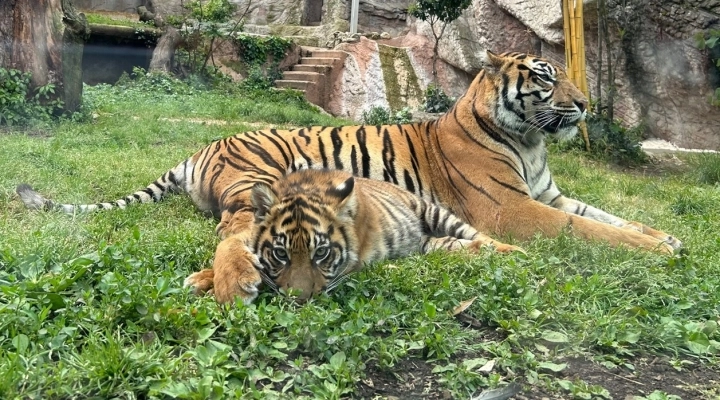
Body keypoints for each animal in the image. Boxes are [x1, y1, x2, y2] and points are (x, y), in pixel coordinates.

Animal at [15, 52, 680, 304]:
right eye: (545, 77)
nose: (586, 105)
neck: (532, 142)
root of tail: (204, 145)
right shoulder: (513, 209)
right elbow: (590, 231)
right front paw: (661, 249)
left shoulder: (550, 194)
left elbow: (609, 218)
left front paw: (665, 237)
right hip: (261, 179)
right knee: (235, 232)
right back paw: (227, 279)